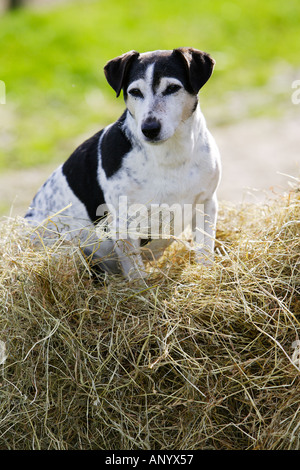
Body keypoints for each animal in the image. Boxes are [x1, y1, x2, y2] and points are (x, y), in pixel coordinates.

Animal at [25, 48, 220, 280]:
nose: (149, 128)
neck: (170, 155)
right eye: (135, 92)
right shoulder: (125, 225)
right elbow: (136, 274)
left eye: (173, 88)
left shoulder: (206, 203)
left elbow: (205, 249)